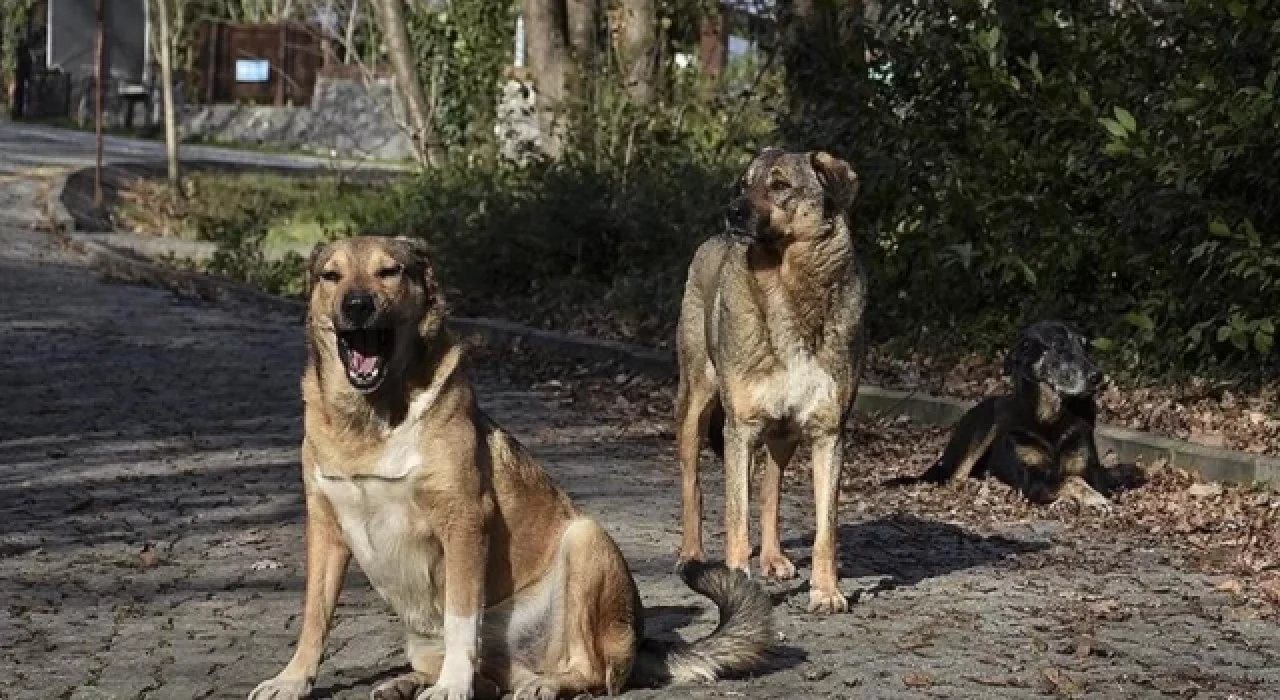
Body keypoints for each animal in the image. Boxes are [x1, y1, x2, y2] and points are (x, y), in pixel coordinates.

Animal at [248, 236, 768, 700]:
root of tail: (640, 644)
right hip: (422, 639)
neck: (370, 420)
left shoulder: (463, 521)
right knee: (491, 680)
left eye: (388, 271)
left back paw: (542, 684)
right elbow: (314, 616)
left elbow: (461, 619)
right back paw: (407, 683)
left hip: (585, 542)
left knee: (592, 672)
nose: (356, 305)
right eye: (330, 276)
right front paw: (292, 680)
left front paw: (450, 688)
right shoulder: (325, 527)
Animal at [670, 147, 870, 614]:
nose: (732, 211)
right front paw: (736, 583)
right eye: (743, 184)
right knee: (693, 486)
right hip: (695, 406)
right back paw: (692, 556)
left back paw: (775, 558)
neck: (788, 286)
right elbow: (736, 517)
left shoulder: (828, 433)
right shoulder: (740, 430)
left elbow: (825, 529)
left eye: (780, 185)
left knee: (771, 488)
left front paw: (826, 591)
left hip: (783, 434)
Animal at [916, 322, 1116, 509]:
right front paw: (1094, 497)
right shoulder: (1033, 481)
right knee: (957, 476)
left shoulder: (1091, 470)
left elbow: (1080, 478)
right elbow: (1072, 479)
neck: (1049, 416)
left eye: (1086, 346)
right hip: (985, 426)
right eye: (1059, 346)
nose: (1098, 377)